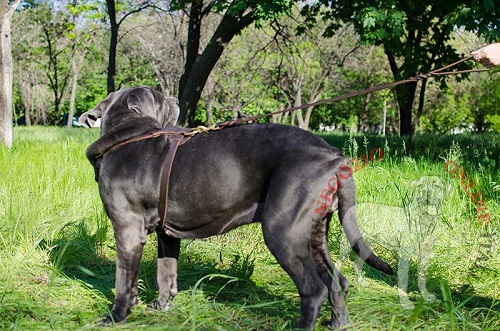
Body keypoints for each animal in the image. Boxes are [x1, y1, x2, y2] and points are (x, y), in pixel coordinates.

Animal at [78, 87, 392, 330]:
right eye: (159, 97)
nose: (175, 99)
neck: (128, 134)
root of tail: (335, 156)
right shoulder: (167, 235)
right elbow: (166, 273)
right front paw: (161, 306)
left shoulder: (128, 229)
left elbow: (124, 280)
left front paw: (116, 317)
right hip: (313, 235)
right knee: (338, 283)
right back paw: (338, 323)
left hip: (282, 232)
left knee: (314, 290)